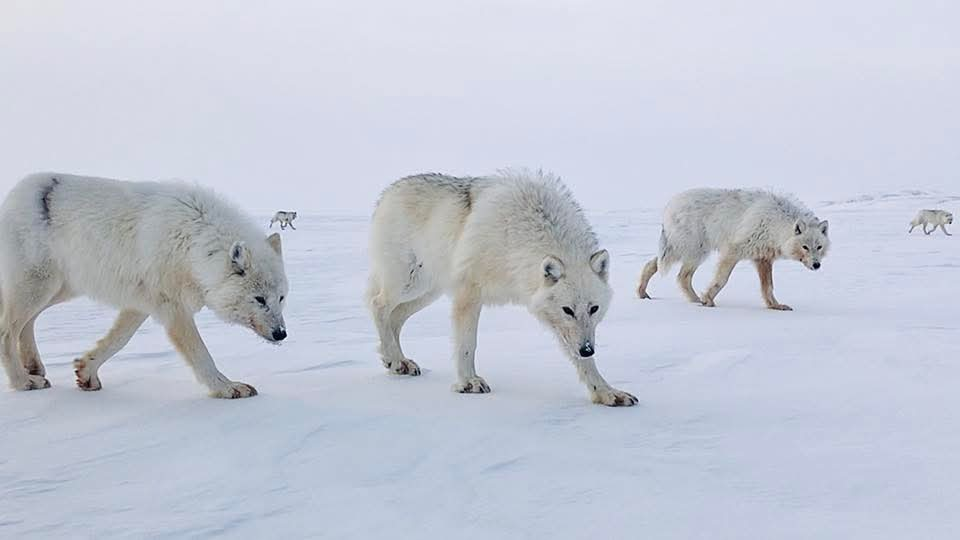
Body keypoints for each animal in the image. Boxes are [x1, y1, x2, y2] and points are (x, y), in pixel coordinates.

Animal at [0, 173, 288, 396]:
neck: (192, 243)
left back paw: (34, 367)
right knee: (7, 330)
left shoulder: (141, 303)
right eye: (259, 299)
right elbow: (201, 354)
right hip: (39, 287)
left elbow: (118, 340)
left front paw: (87, 373)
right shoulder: (173, 309)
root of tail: (15, 192)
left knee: (28, 323)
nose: (281, 334)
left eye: (281, 298)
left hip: (60, 290)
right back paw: (23, 381)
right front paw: (226, 388)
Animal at [366, 171, 636, 408]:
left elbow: (584, 364)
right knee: (377, 305)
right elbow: (467, 344)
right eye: (567, 310)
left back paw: (398, 361)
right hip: (409, 284)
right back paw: (394, 359)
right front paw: (468, 382)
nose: (587, 349)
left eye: (594, 309)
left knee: (395, 318)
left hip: (427, 293)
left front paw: (607, 393)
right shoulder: (468, 293)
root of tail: (388, 191)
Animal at [632, 189, 828, 308]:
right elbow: (722, 280)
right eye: (805, 247)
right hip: (693, 252)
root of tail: (669, 206)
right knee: (680, 275)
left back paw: (647, 294)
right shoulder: (733, 251)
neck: (775, 224)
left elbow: (768, 288)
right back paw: (697, 301)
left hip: (687, 252)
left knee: (657, 267)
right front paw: (708, 299)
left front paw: (775, 306)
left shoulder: (763, 259)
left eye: (819, 247)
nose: (817, 265)